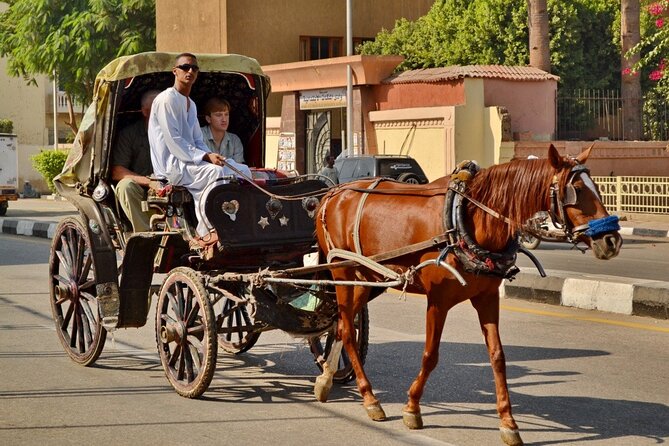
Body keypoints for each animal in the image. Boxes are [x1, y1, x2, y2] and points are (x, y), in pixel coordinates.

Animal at [313, 145, 622, 446]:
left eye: (596, 186)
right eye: (576, 190)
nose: (612, 241)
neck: (467, 220)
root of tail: (331, 194)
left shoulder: (487, 298)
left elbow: (498, 356)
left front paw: (508, 422)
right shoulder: (438, 301)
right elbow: (430, 354)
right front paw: (412, 407)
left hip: (367, 278)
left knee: (341, 325)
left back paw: (326, 379)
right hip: (342, 272)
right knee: (348, 330)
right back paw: (369, 398)